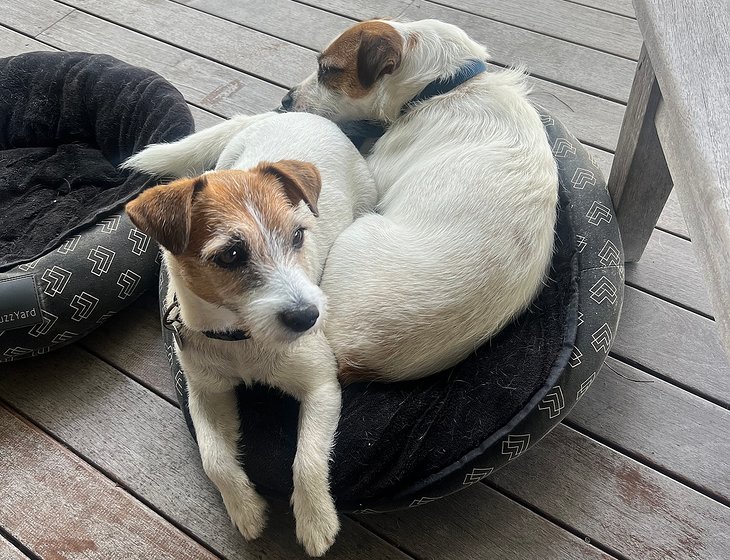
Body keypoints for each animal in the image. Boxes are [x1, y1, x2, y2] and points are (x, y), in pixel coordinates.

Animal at [123, 112, 377, 556]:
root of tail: (287, 114)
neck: (240, 338)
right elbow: (214, 458)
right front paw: (245, 508)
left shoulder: (321, 385)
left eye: (299, 236)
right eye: (231, 255)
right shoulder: (205, 393)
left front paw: (315, 521)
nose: (309, 317)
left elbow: (307, 458)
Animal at [283, 19, 559, 382]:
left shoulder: (376, 169)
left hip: (360, 232)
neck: (445, 86)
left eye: (328, 70)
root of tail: (354, 359)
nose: (286, 100)